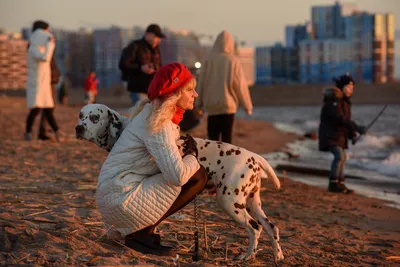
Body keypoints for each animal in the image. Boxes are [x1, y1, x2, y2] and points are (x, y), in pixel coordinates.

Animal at [75, 103, 284, 262]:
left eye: (95, 117)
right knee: (271, 227)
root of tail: (254, 157)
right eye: (81, 115)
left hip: (230, 202)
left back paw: (248, 256)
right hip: (252, 203)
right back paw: (277, 256)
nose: (79, 128)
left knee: (255, 228)